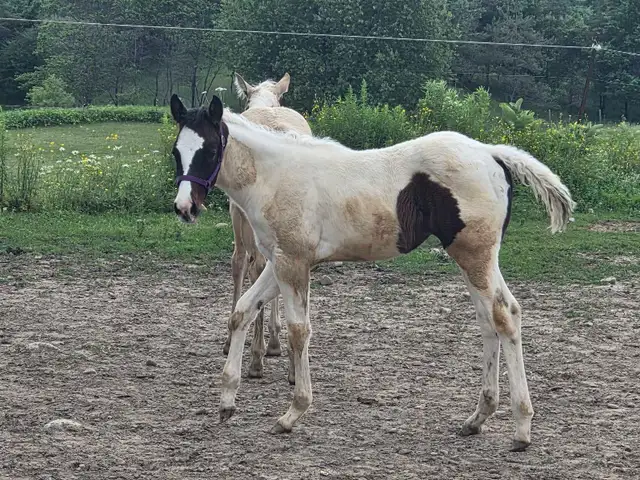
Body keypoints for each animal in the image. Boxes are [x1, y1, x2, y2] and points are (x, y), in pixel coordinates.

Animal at [170, 94, 575, 452]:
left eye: (208, 151)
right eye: (177, 152)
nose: (185, 207)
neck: (276, 176)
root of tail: (491, 152)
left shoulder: (293, 263)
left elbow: (300, 332)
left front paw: (292, 413)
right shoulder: (276, 262)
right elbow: (241, 312)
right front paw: (226, 402)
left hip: (475, 256)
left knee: (502, 317)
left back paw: (521, 430)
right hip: (477, 259)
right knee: (495, 317)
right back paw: (477, 419)